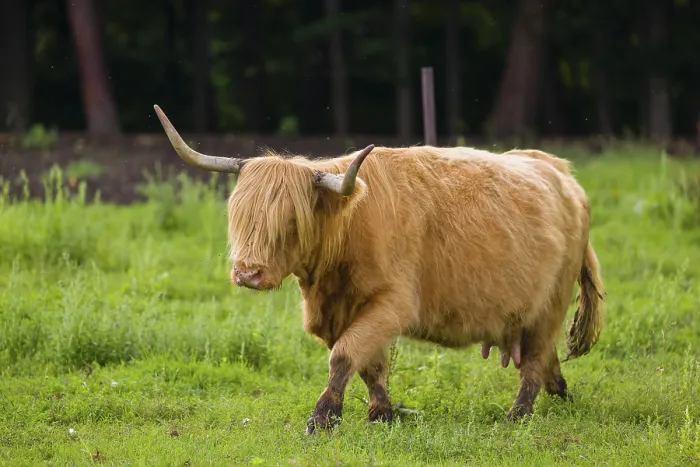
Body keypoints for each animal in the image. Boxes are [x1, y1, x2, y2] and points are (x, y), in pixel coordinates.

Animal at [153, 105, 605, 434]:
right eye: (240, 215)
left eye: (291, 220)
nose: (248, 273)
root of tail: (560, 172)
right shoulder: (345, 311)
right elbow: (369, 364)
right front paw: (382, 414)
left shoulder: (393, 304)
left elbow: (344, 355)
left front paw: (323, 417)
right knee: (545, 358)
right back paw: (560, 395)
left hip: (550, 303)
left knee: (534, 360)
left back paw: (517, 416)